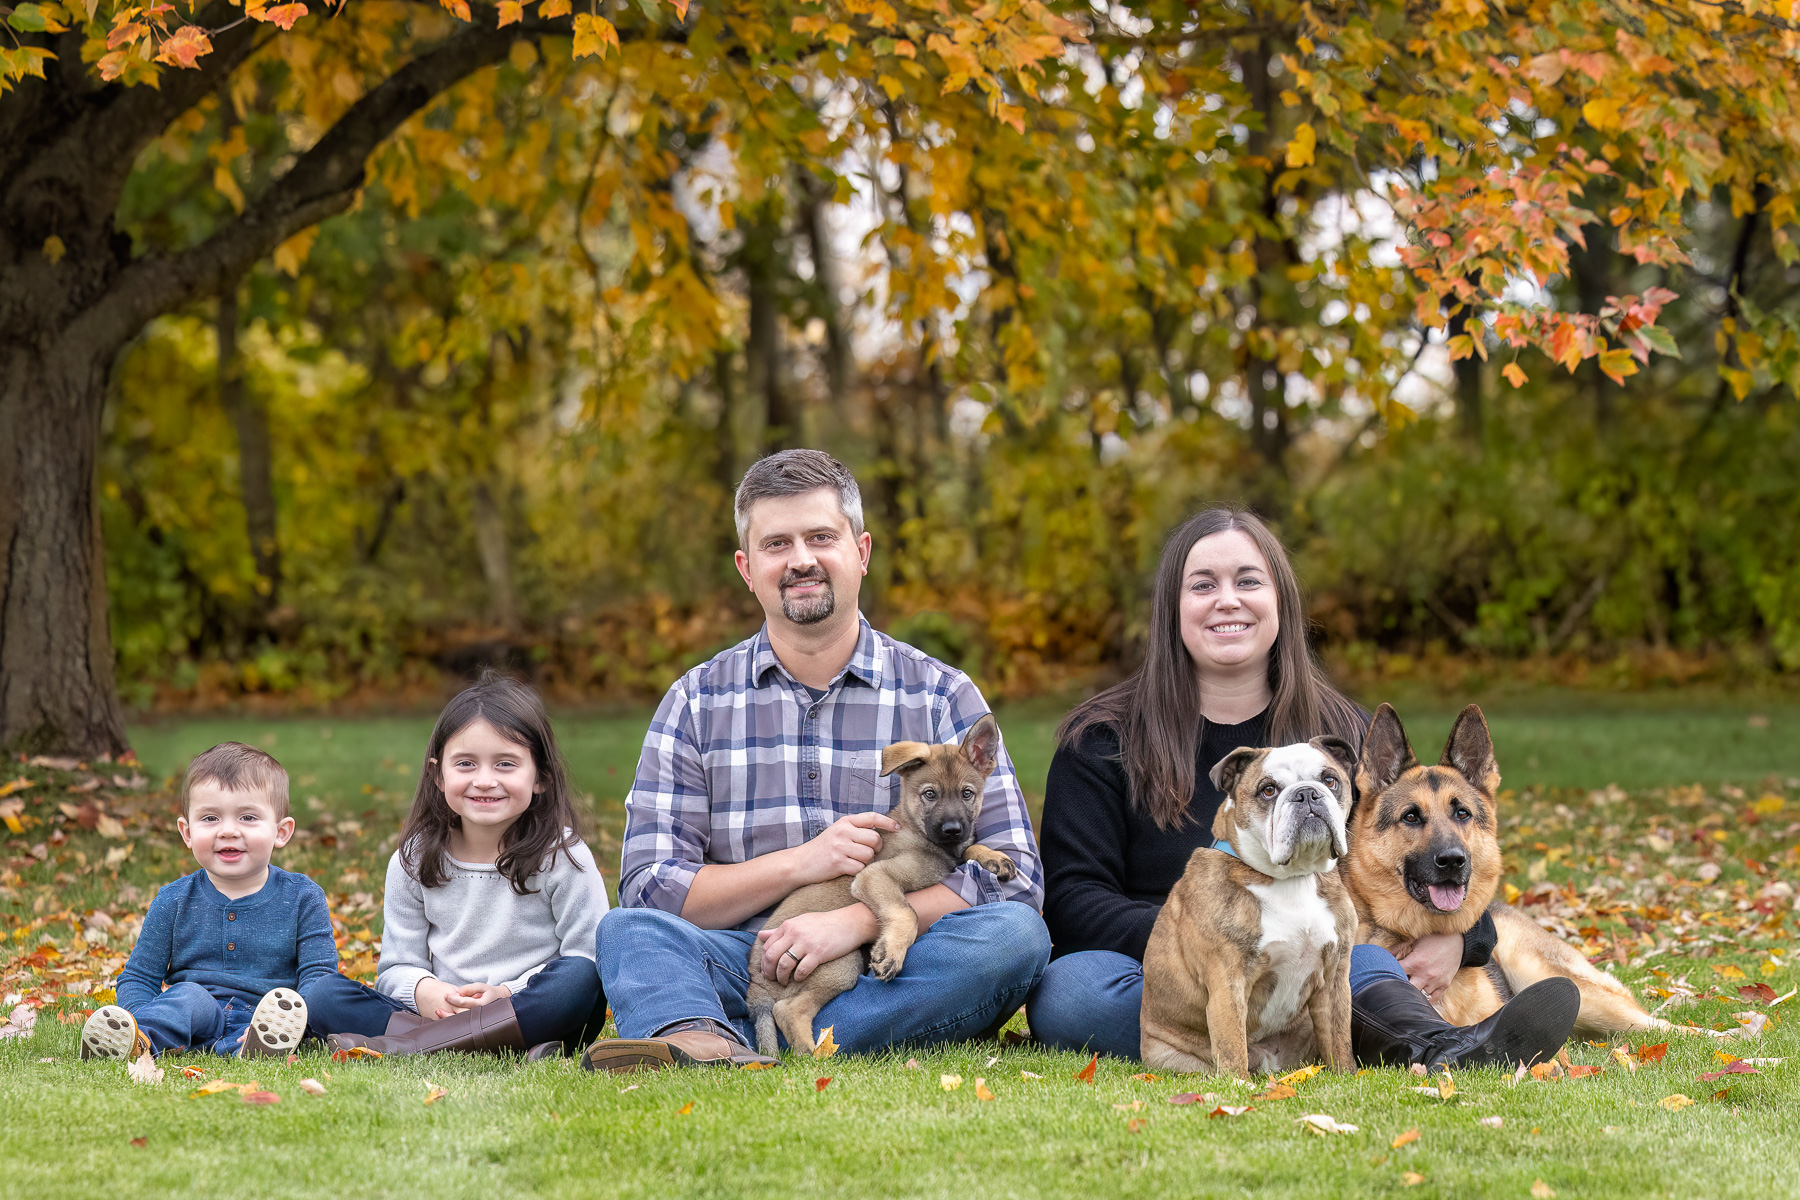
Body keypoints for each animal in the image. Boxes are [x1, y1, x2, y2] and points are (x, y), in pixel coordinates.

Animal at [745, 719, 1022, 1057]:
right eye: (930, 794)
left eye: (967, 793)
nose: (952, 829)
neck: (919, 831)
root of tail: (755, 984)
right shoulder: (875, 875)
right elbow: (906, 912)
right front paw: (891, 953)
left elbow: (969, 849)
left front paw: (993, 856)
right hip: (838, 962)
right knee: (787, 1009)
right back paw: (816, 1055)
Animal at [1346, 705, 1677, 1043]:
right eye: (1411, 817)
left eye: (1462, 813)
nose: (1453, 860)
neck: (1414, 933)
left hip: (1559, 982)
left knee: (1660, 1025)